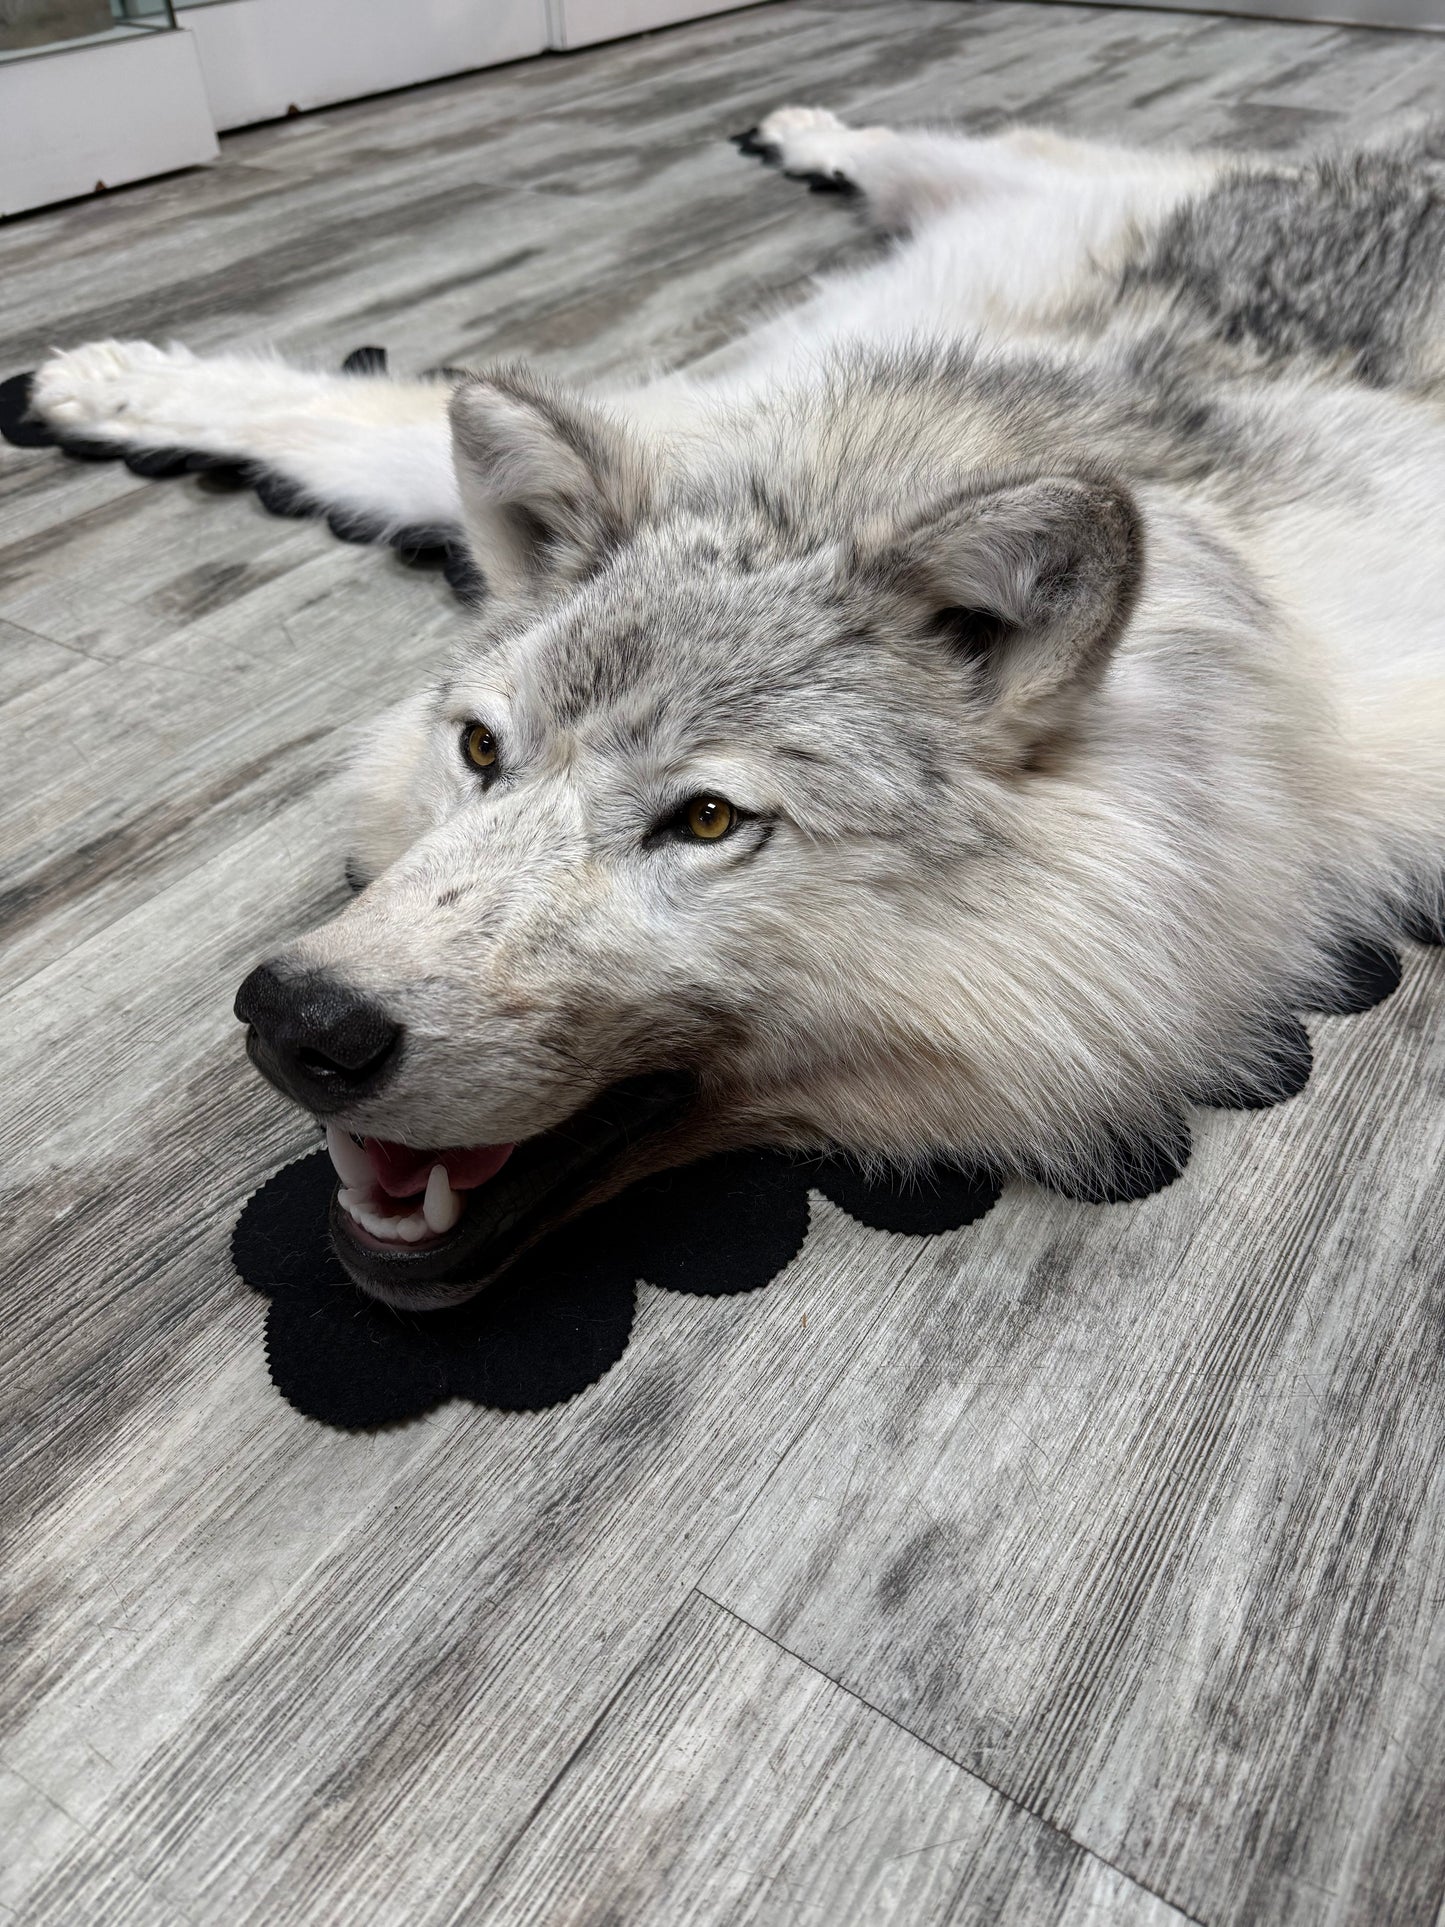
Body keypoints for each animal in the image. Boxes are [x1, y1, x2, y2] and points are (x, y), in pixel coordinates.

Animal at [25, 106, 1445, 1307]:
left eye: (706, 821)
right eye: (480, 749)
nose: (297, 1023)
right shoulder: (685, 417)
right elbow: (360, 406)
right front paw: (116, 385)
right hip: (993, 197)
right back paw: (807, 128)